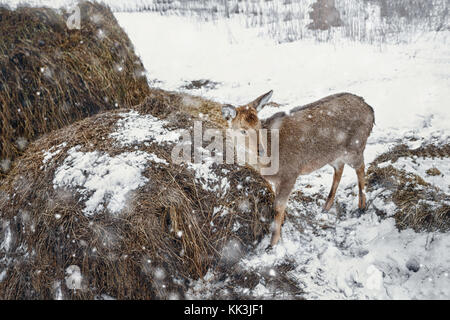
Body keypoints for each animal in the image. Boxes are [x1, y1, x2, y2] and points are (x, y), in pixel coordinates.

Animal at [222, 90, 376, 250]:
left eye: (258, 126)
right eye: (243, 130)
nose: (261, 151)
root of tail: (370, 109)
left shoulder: (289, 173)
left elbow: (278, 207)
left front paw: (272, 243)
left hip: (355, 147)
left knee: (361, 167)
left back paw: (361, 206)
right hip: (334, 155)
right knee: (339, 169)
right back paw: (326, 206)